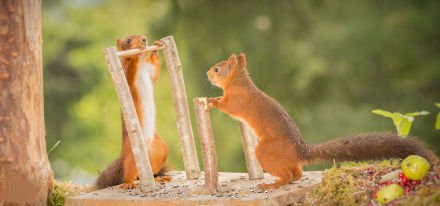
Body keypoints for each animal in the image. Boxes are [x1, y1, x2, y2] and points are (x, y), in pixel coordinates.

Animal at [96, 34, 170, 190]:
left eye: (144, 37)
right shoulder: (124, 76)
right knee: (130, 173)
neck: (142, 64)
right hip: (132, 155)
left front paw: (155, 48)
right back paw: (129, 183)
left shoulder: (150, 72)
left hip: (161, 148)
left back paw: (158, 178)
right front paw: (134, 55)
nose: (144, 40)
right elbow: (129, 74)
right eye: (128, 41)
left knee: (150, 170)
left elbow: (155, 74)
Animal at [207, 52, 440, 188]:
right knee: (297, 173)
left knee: (289, 175)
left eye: (217, 69)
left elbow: (227, 106)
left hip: (265, 151)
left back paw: (272, 184)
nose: (207, 74)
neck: (239, 83)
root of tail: (300, 151)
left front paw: (212, 101)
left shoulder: (237, 101)